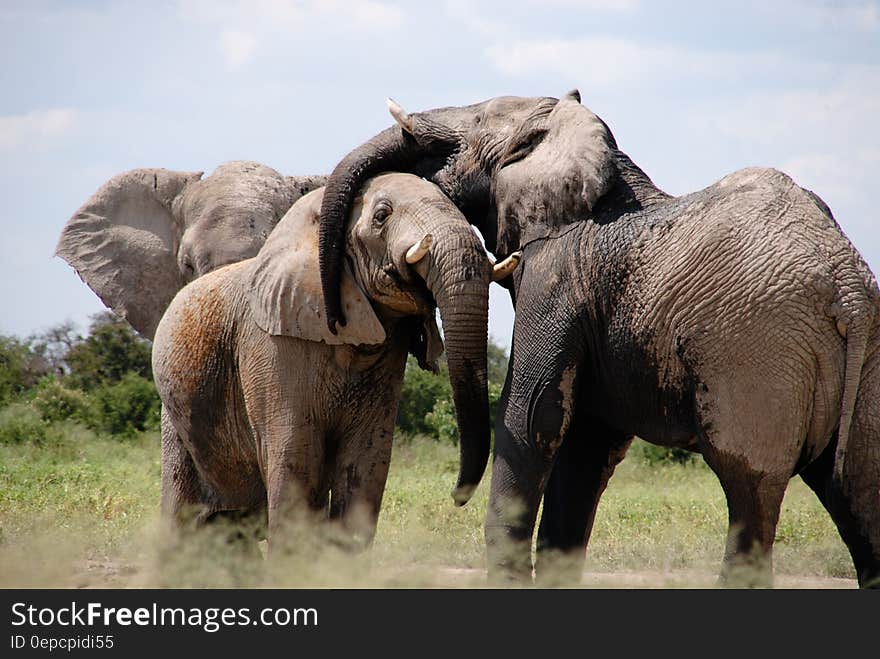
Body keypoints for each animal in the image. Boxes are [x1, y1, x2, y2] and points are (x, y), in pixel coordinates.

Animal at [149, 173, 512, 548]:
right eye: (381, 216)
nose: (457, 498)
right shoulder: (271, 346)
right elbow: (295, 455)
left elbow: (367, 460)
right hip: (174, 418)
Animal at [312, 89, 876, 588]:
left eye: (475, 122)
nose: (336, 317)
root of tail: (847, 287)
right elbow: (585, 443)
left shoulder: (556, 273)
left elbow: (532, 416)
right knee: (858, 498)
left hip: (757, 353)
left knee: (749, 493)